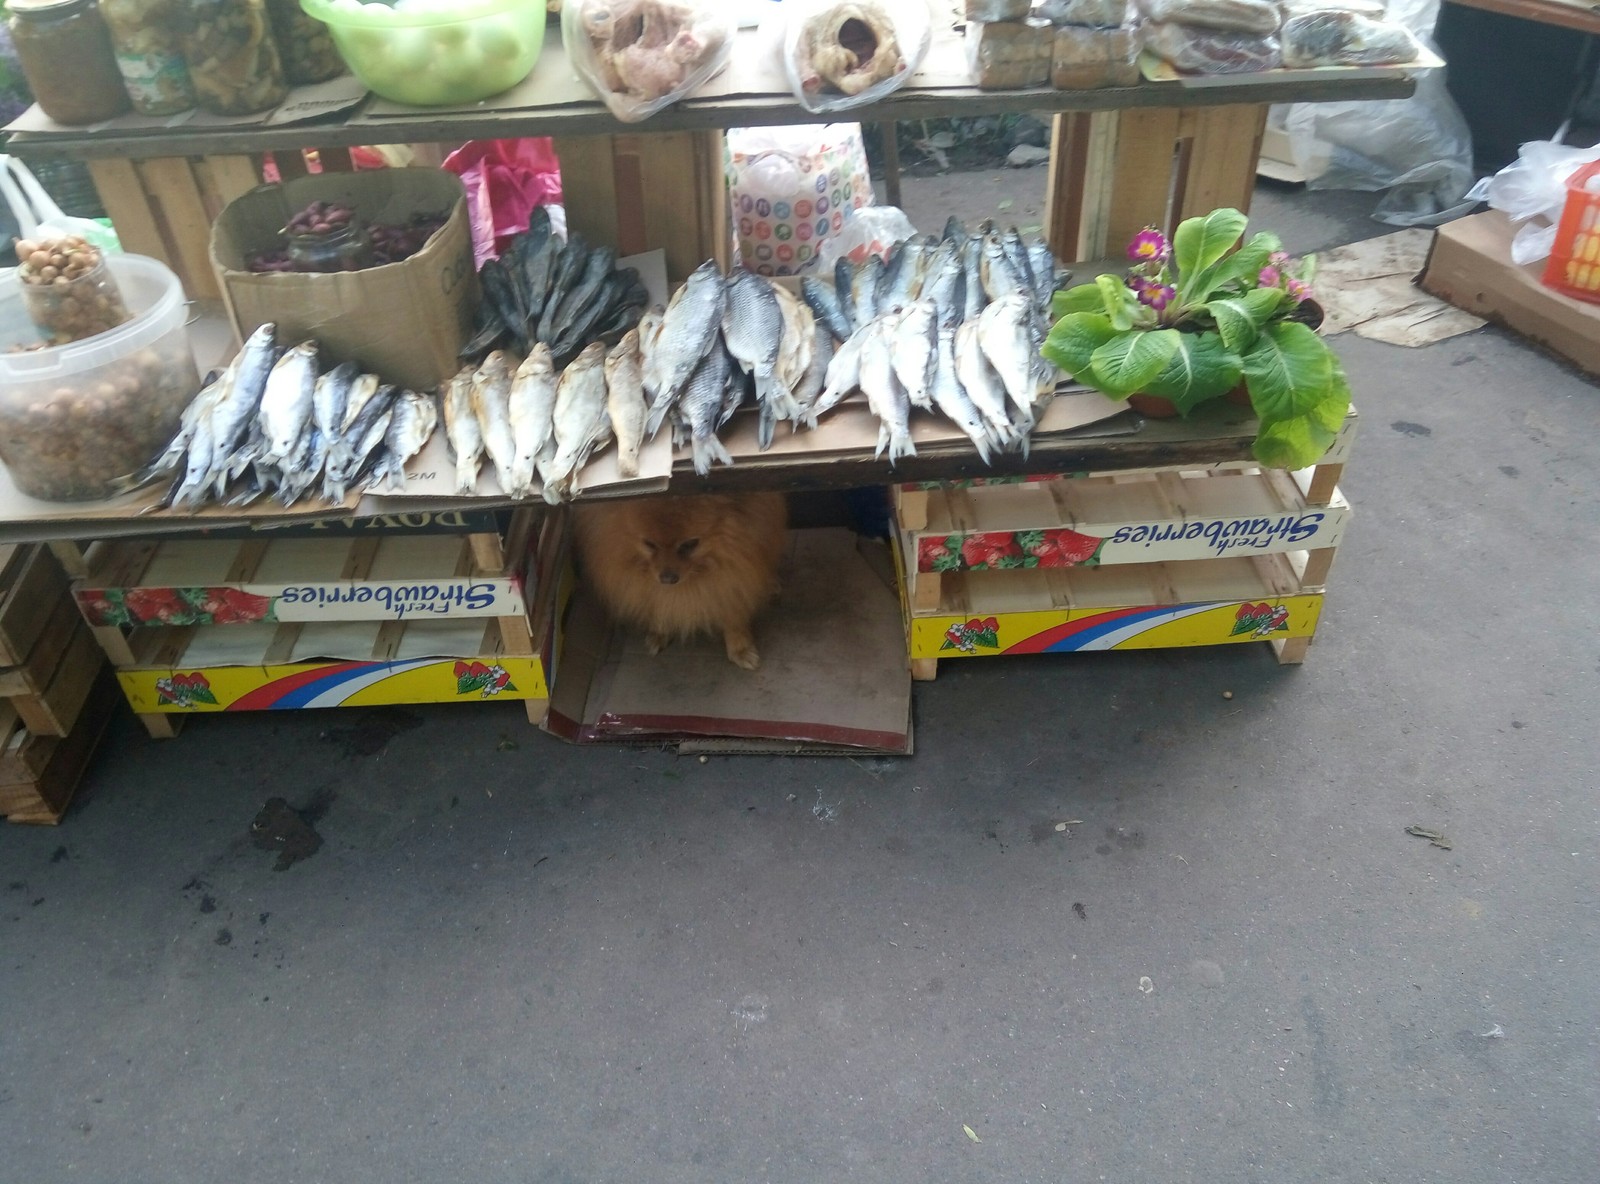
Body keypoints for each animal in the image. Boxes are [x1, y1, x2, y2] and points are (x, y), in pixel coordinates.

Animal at [579, 489, 790, 672]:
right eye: (649, 544)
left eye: (690, 544)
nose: (667, 578)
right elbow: (659, 603)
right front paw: (660, 631)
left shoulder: (734, 577)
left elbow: (733, 615)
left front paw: (740, 649)